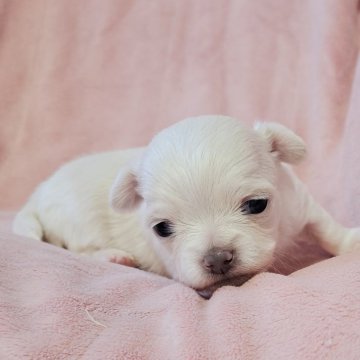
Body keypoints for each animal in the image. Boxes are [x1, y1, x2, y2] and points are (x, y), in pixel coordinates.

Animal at [14, 116, 360, 296]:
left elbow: (326, 227)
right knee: (77, 249)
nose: (217, 258)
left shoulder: (299, 204)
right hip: (77, 223)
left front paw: (351, 242)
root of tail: (37, 194)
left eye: (257, 205)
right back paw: (113, 256)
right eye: (162, 229)